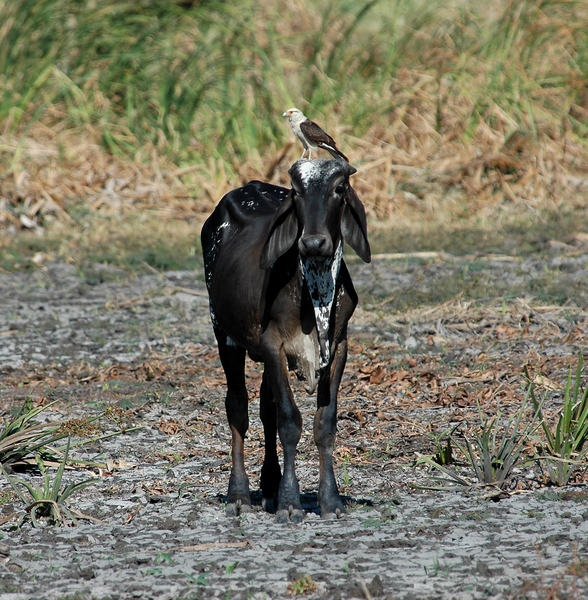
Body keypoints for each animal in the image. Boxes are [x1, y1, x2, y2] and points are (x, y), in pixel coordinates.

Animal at [200, 158, 370, 520]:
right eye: (296, 191)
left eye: (339, 189)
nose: (314, 243)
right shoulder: (272, 345)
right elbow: (290, 422)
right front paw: (290, 502)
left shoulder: (339, 346)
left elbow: (324, 423)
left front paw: (330, 500)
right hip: (223, 334)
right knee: (238, 408)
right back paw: (239, 494)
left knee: (266, 408)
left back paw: (268, 487)